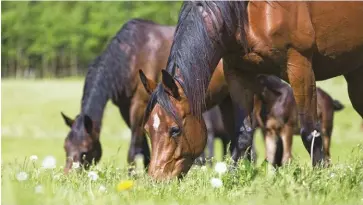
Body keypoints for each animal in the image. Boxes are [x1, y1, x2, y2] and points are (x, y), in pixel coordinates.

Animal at [60, 19, 176, 173]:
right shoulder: (125, 108)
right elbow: (143, 148)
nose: (69, 175)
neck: (133, 55)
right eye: (65, 147)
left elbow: (134, 148)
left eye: (85, 151)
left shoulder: (140, 104)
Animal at [139, 1, 363, 178]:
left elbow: (310, 132)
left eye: (175, 130)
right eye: (147, 130)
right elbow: (242, 135)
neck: (251, 11)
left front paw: (319, 178)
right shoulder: (238, 73)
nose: (156, 180)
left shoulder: (300, 66)